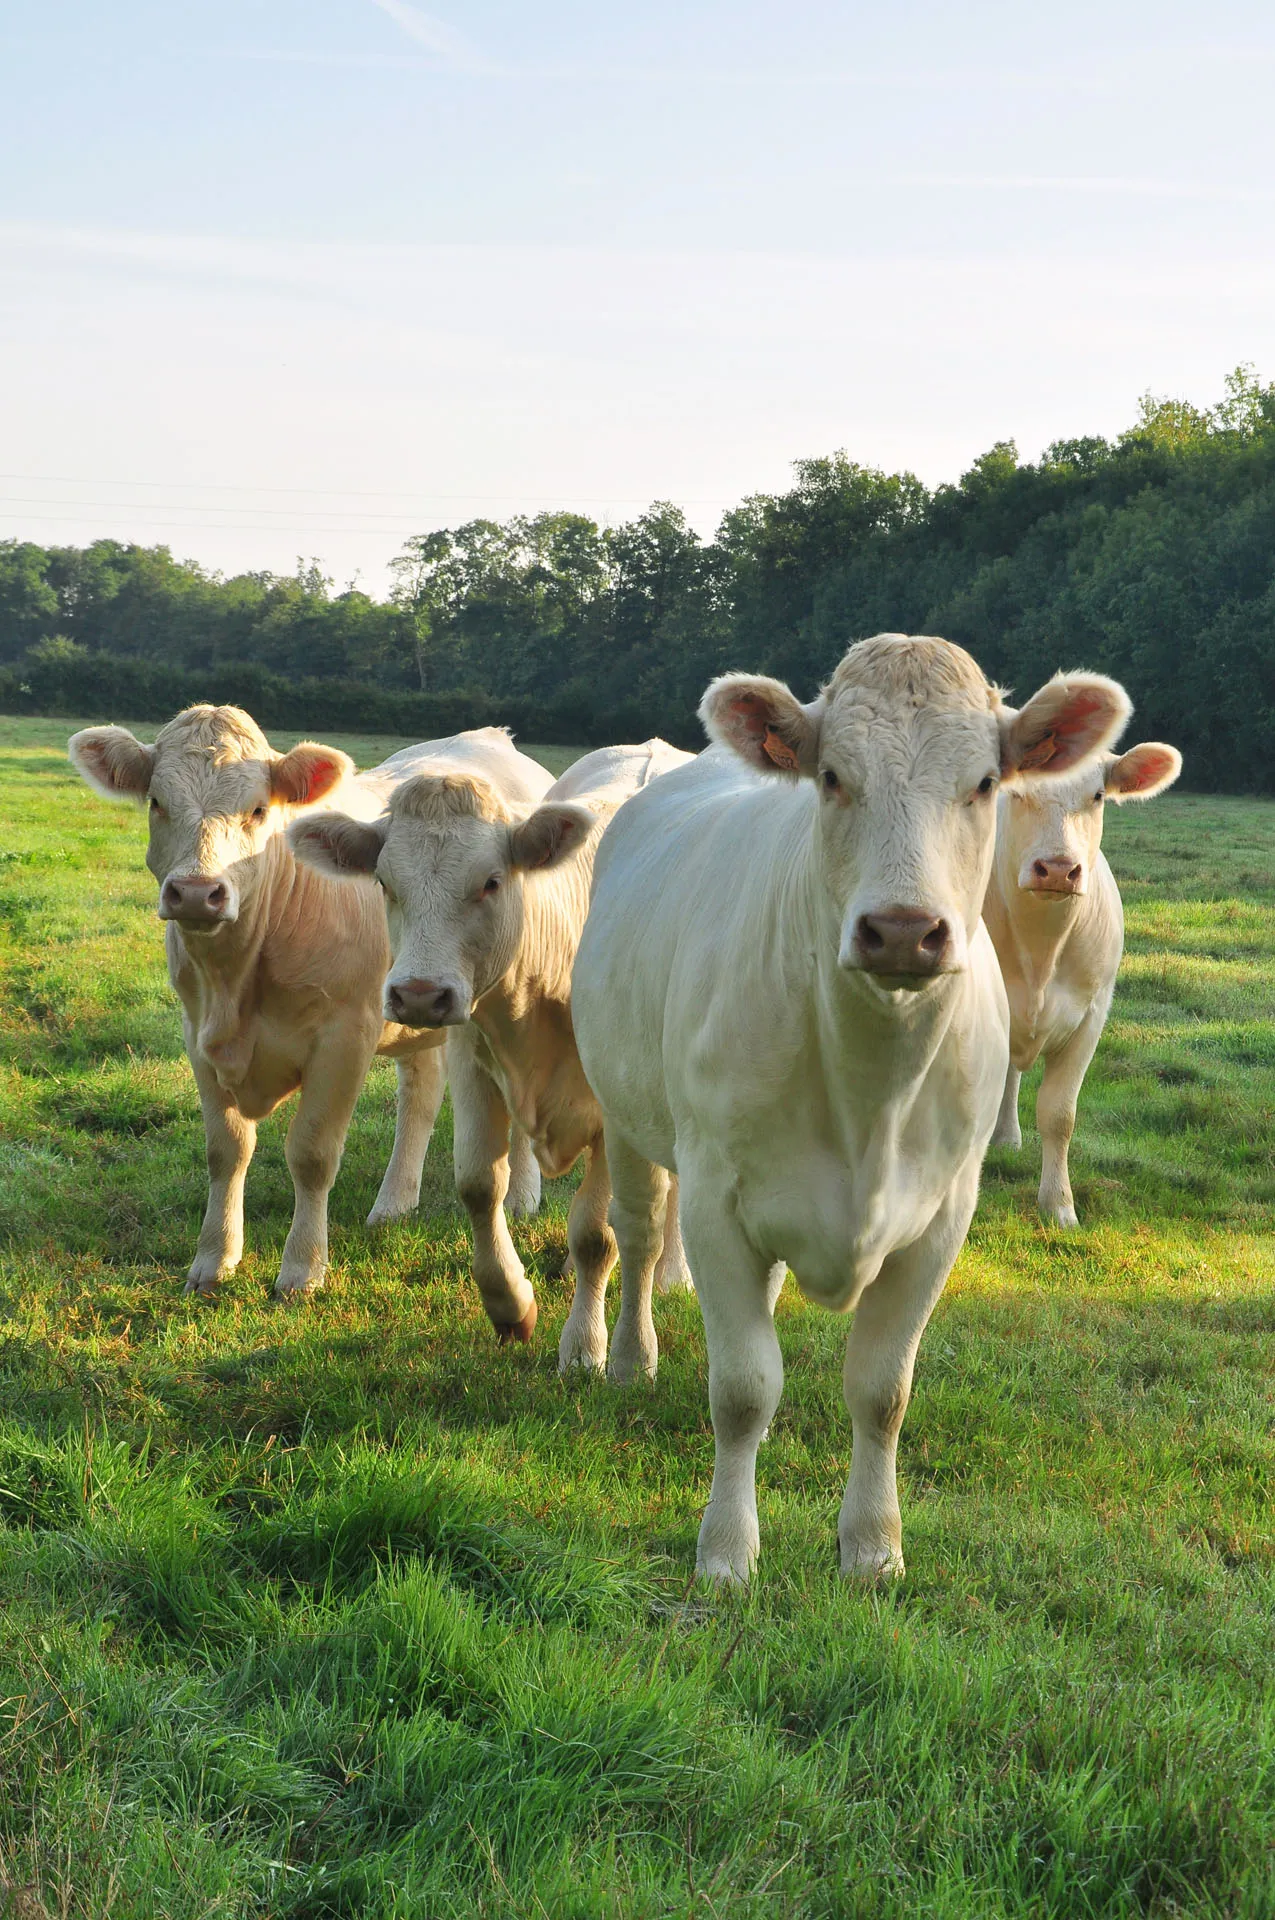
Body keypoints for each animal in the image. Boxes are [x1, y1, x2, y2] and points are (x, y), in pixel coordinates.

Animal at [67, 709, 551, 1297]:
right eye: (157, 802)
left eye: (258, 809)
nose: (197, 892)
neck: (236, 980)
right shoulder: (197, 1033)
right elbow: (226, 1150)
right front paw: (214, 1258)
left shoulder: (344, 1036)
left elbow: (312, 1154)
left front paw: (301, 1268)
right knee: (421, 1091)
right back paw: (393, 1203)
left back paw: (523, 1197)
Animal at [289, 740, 693, 1349]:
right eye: (385, 884)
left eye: (492, 881)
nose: (419, 994)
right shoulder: (476, 1064)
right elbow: (479, 1185)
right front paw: (511, 1302)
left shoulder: (615, 1113)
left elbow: (597, 1233)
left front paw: (585, 1343)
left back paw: (673, 1273)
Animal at [569, 636, 1132, 1584]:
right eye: (831, 776)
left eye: (985, 782)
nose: (902, 929)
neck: (872, 1089)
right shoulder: (718, 1201)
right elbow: (742, 1389)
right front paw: (726, 1551)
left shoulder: (941, 1216)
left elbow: (881, 1392)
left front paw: (872, 1547)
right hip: (625, 1113)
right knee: (639, 1235)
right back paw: (628, 1356)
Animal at [984, 738, 1182, 1225]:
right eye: (1015, 793)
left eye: (1097, 795)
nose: (1057, 869)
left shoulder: (1091, 1016)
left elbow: (1059, 1114)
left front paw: (1058, 1205)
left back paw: (1007, 1137)